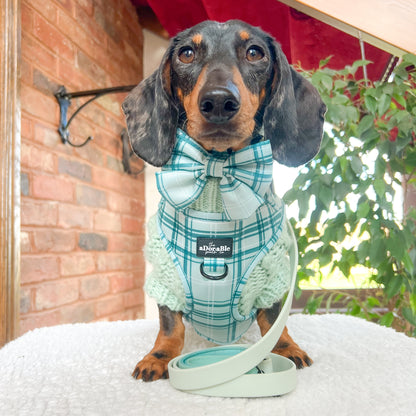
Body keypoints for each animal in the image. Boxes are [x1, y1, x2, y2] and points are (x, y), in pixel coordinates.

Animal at [122, 21, 326, 382]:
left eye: (255, 52)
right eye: (186, 53)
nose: (219, 101)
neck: (217, 178)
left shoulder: (271, 277)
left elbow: (273, 320)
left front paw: (285, 348)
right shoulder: (166, 279)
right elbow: (170, 325)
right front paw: (158, 356)